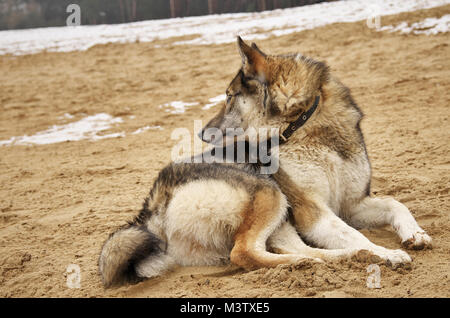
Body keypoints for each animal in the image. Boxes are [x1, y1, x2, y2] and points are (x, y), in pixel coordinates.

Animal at [97, 37, 428, 288]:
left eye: (229, 97)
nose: (202, 133)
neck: (305, 127)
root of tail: (152, 206)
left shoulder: (352, 205)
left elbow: (395, 204)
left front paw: (415, 234)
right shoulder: (312, 211)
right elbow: (356, 233)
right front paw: (387, 253)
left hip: (278, 212)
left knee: (285, 248)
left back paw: (338, 258)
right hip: (270, 191)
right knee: (244, 253)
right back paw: (325, 260)